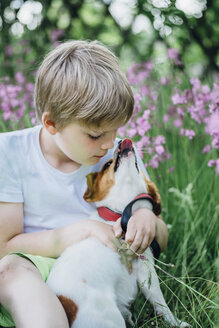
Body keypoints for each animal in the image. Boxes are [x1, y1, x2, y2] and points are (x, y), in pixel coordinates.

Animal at [46, 138, 190, 328]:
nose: (124, 140)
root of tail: (65, 305)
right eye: (108, 164)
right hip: (110, 318)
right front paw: (177, 323)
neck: (120, 215)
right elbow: (161, 304)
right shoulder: (145, 270)